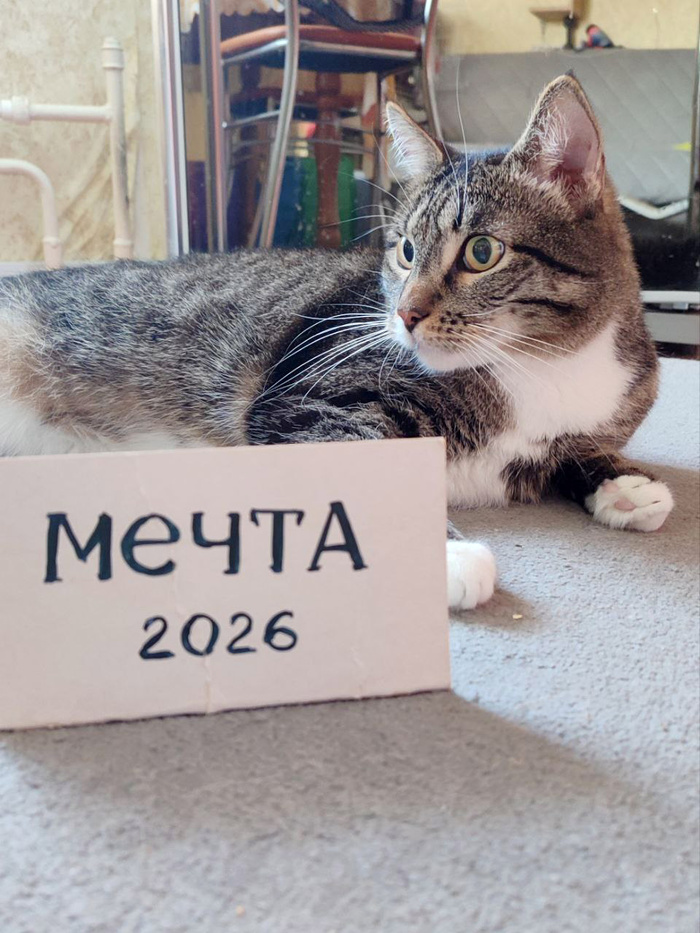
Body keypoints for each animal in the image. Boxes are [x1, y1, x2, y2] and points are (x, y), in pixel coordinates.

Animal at [0, 74, 673, 611]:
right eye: (406, 250)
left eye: (482, 251)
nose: (404, 313)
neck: (544, 367)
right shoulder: (306, 399)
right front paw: (449, 558)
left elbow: (578, 451)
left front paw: (625, 485)